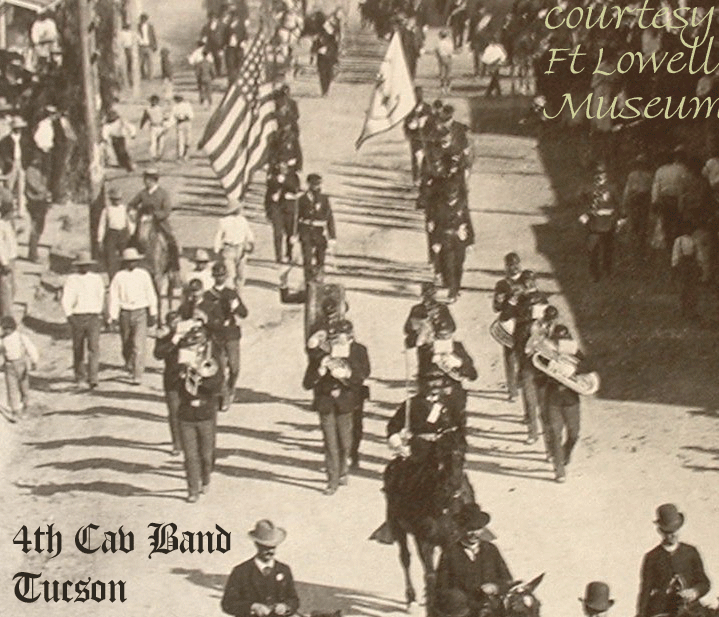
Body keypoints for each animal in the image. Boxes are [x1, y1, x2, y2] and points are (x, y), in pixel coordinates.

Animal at [372, 426, 478, 608]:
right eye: (440, 453)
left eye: (463, 451)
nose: (453, 484)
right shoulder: (424, 541)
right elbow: (430, 574)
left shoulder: (451, 541)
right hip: (398, 527)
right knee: (405, 558)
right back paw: (411, 597)